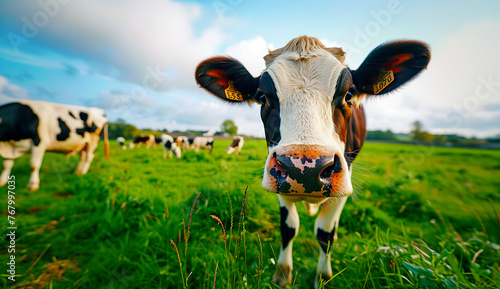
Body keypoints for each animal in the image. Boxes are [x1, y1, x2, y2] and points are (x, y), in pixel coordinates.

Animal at [195, 35, 430, 286]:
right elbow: (288, 227)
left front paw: (323, 276)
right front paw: (282, 273)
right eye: (262, 97)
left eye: (349, 94)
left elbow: (325, 233)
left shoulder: (345, 177)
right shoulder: (279, 179)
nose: (305, 169)